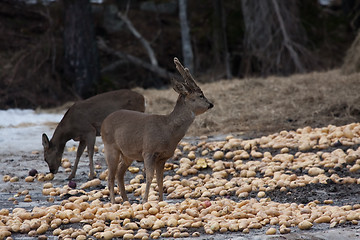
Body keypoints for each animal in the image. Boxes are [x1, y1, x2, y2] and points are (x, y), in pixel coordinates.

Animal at [100, 57, 214, 202]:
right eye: (200, 95)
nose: (211, 104)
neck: (168, 130)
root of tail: (104, 122)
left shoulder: (163, 156)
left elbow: (160, 179)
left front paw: (160, 200)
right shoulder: (148, 151)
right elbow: (149, 177)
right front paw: (145, 200)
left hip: (127, 153)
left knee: (120, 173)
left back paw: (126, 201)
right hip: (110, 146)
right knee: (110, 177)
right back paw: (114, 202)